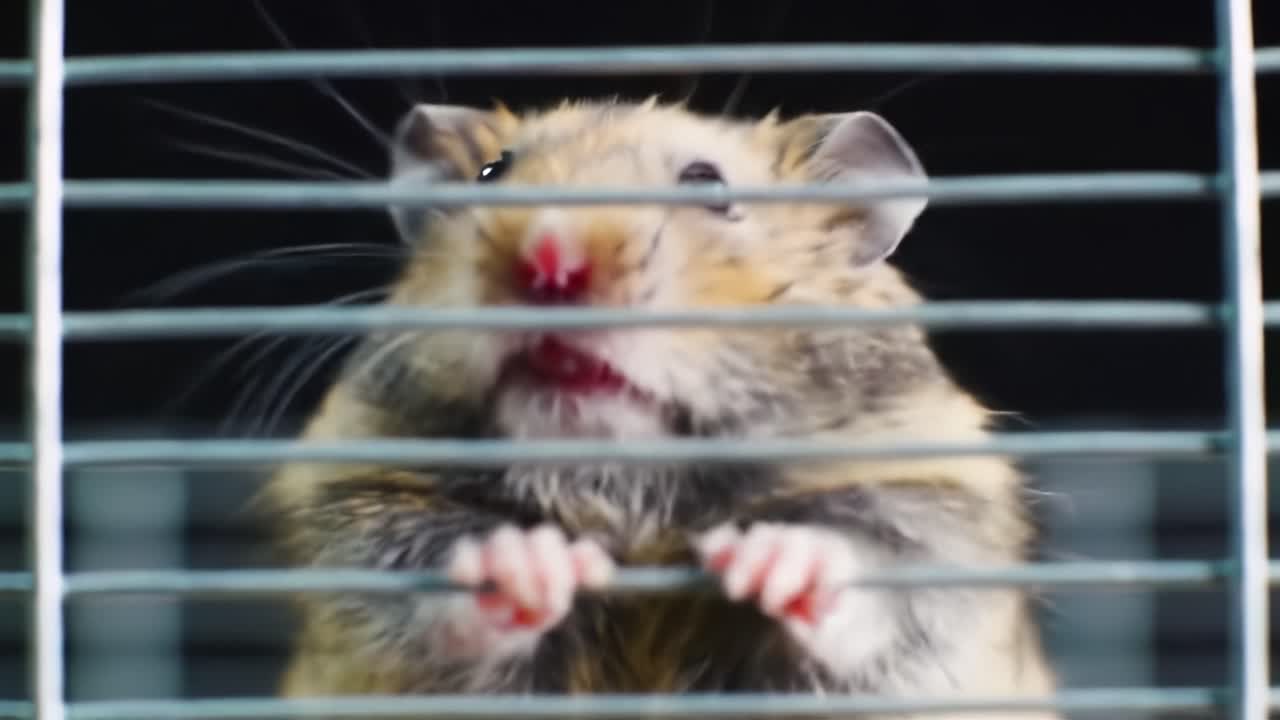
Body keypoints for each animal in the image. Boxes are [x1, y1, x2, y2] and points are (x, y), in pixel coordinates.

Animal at [258, 96, 1060, 718]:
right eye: (493, 172)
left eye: (708, 184)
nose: (549, 258)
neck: (630, 499)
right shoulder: (352, 502)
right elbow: (420, 588)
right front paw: (528, 563)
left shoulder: (940, 503)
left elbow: (876, 573)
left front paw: (769, 559)